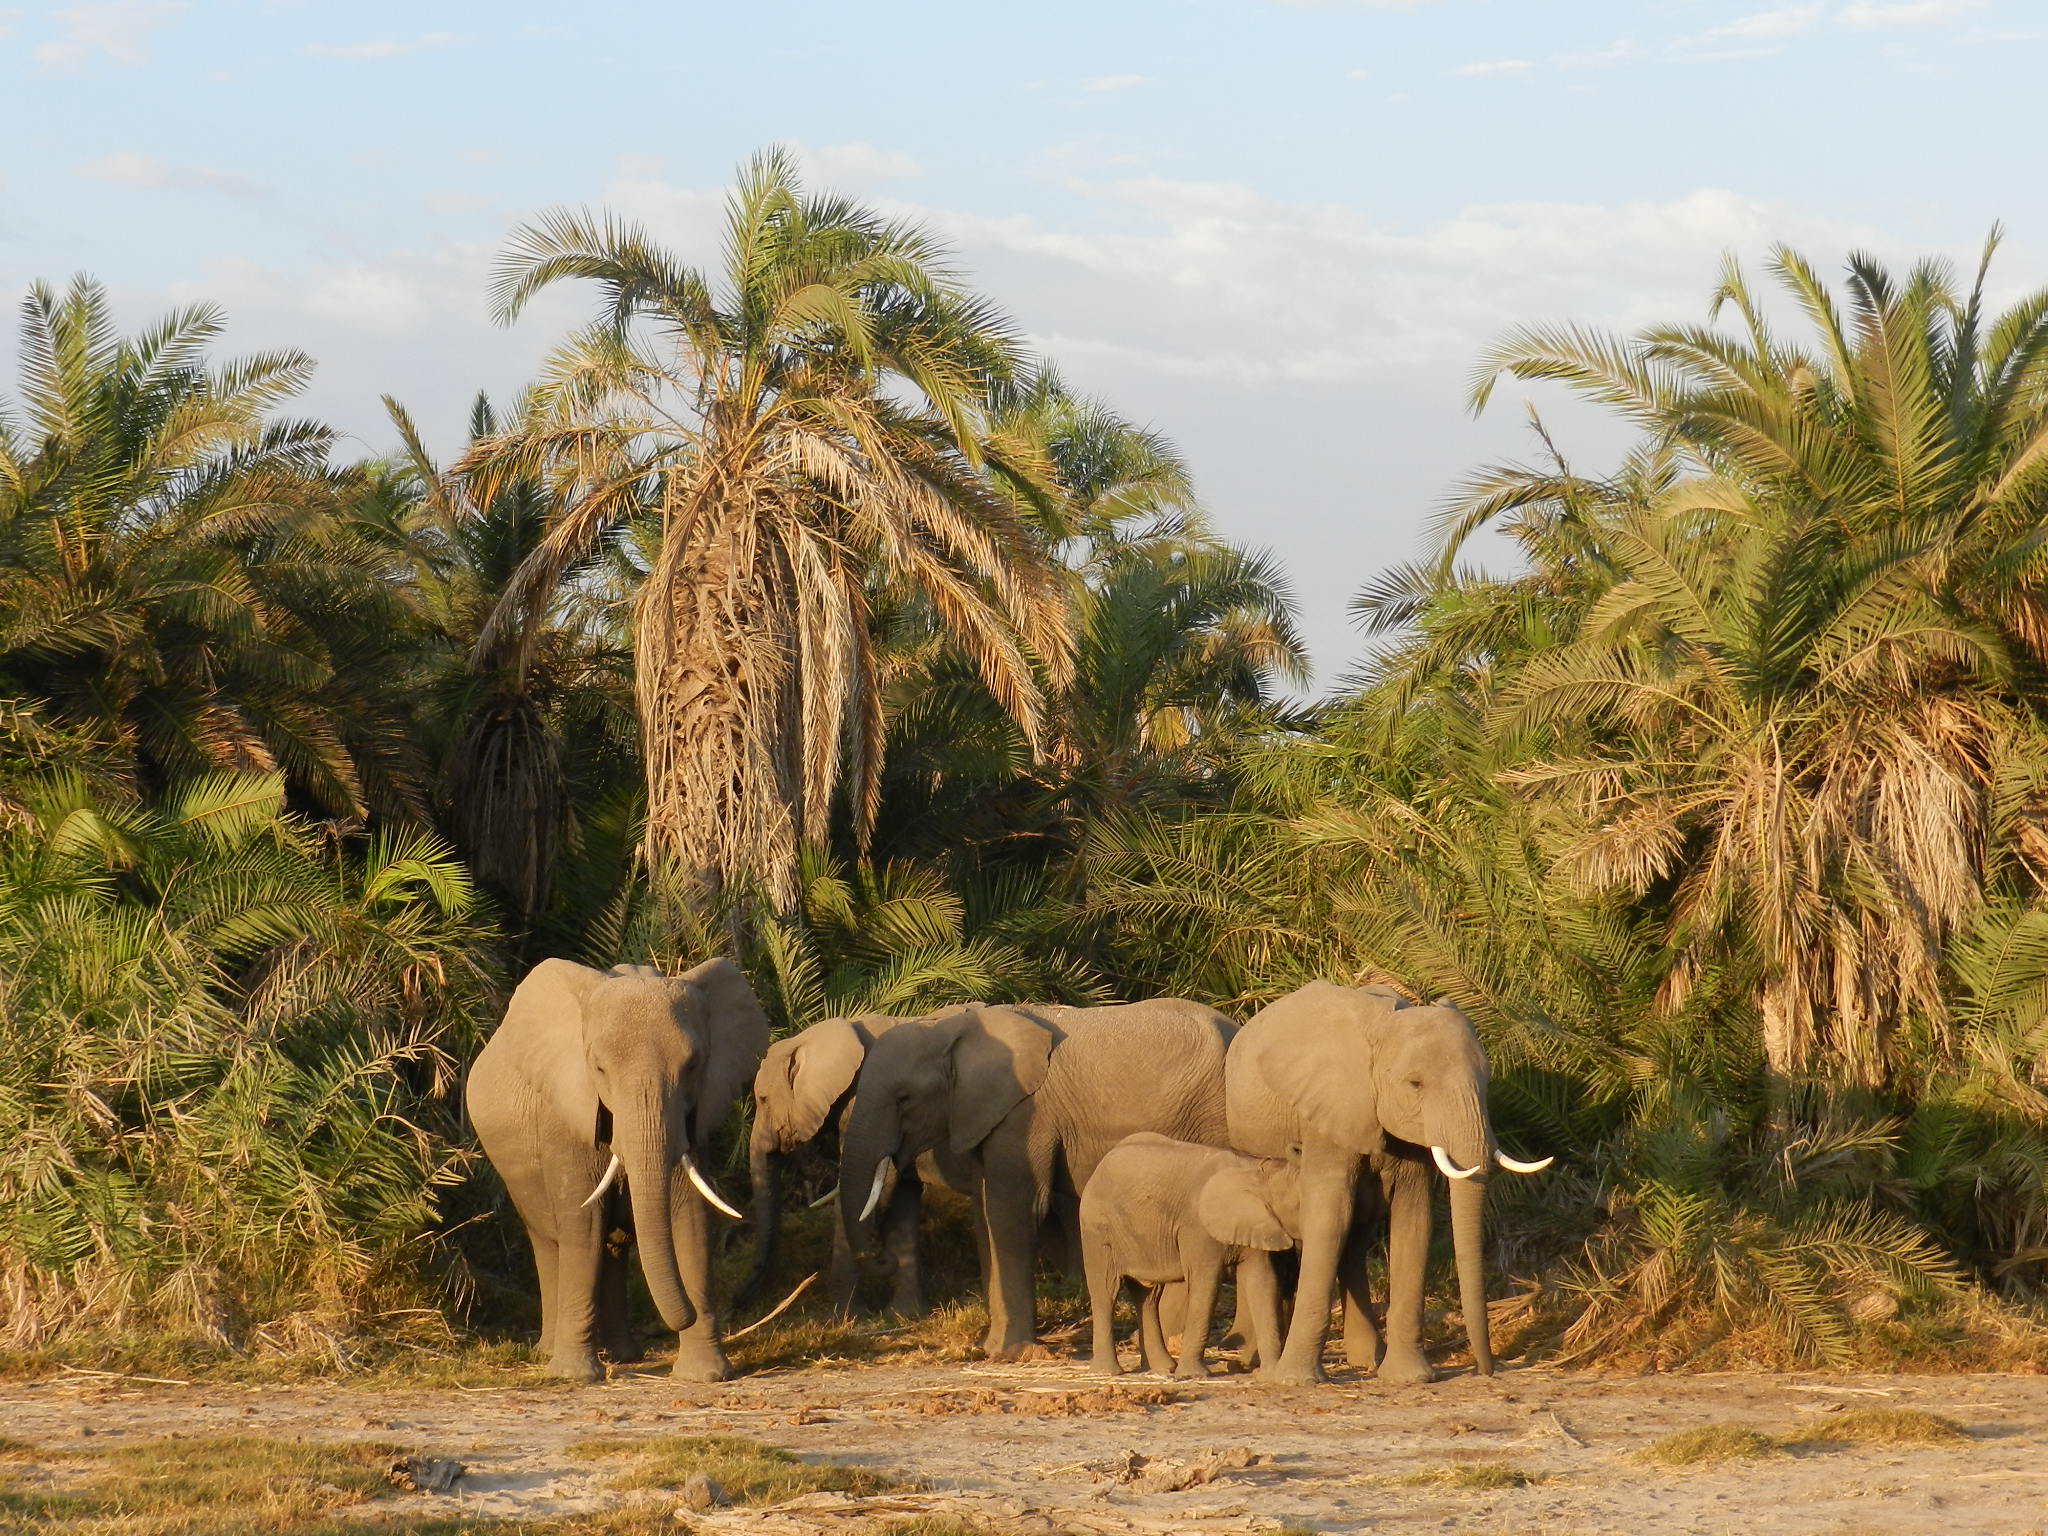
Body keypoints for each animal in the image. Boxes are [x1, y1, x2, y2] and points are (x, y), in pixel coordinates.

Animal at [464, 962, 770, 1384]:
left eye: (693, 1065)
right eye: (598, 1068)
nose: (686, 1314)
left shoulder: (692, 1117)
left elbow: (689, 1219)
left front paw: (706, 1376)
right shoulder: (566, 1114)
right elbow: (584, 1224)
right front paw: (575, 1377)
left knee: (613, 1247)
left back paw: (623, 1355)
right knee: (551, 1242)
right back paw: (552, 1354)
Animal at [831, 1003, 1228, 1368]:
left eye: (903, 1098)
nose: (883, 1257)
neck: (954, 1030)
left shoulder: (1026, 1114)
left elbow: (1014, 1210)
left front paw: (1012, 1353)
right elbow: (986, 1214)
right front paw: (991, 1348)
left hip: (1212, 1118)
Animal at [1081, 1130, 1286, 1384]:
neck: (1253, 1167)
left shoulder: (1256, 1224)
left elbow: (1262, 1282)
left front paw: (1269, 1374)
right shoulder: (1197, 1228)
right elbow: (1205, 1284)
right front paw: (1195, 1375)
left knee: (1147, 1295)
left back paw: (1163, 1367)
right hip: (1097, 1227)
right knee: (1106, 1290)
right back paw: (1107, 1372)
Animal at [1228, 987, 1548, 1392]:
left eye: (1488, 1081)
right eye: (1415, 1084)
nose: (1486, 1369)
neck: (1382, 1032)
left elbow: (1414, 1218)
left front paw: (1410, 1377)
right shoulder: (1327, 1108)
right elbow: (1330, 1214)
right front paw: (1297, 1381)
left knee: (1356, 1238)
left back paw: (1367, 1358)